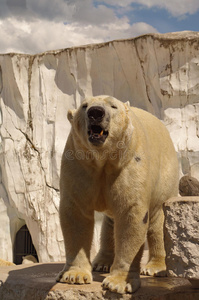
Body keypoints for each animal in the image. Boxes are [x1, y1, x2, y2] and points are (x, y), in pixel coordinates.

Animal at [56, 95, 179, 292]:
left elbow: (131, 215)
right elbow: (77, 214)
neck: (103, 158)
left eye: (113, 106)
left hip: (166, 176)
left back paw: (155, 268)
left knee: (158, 221)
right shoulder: (78, 162)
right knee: (110, 221)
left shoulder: (129, 163)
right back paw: (101, 262)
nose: (96, 112)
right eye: (84, 106)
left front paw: (118, 283)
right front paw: (74, 275)